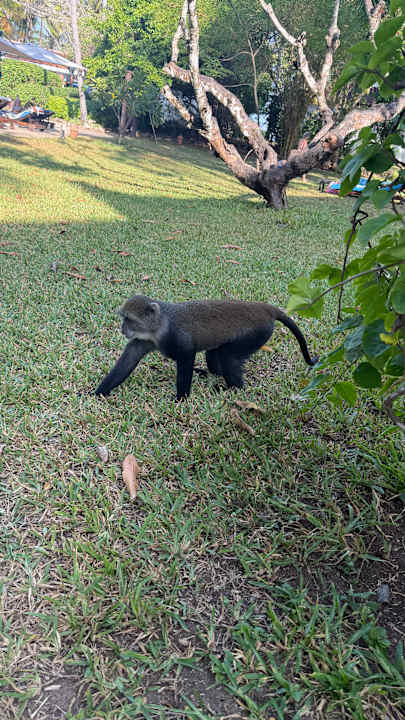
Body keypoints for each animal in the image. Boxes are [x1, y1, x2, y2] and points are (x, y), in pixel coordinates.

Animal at [95, 294, 318, 401]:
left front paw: (180, 400)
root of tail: (265, 309)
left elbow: (186, 359)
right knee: (215, 355)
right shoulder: (143, 340)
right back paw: (210, 373)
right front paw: (96, 394)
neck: (159, 326)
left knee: (228, 356)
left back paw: (232, 388)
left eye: (130, 320)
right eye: (123, 318)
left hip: (257, 334)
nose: (123, 328)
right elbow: (128, 361)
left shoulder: (180, 340)